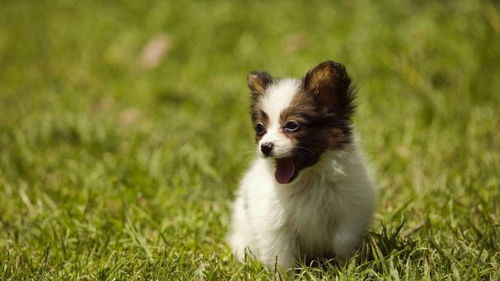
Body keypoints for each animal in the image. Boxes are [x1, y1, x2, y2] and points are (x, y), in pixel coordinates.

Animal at [229, 60, 376, 266]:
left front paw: (346, 266)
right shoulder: (274, 224)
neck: (308, 179)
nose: (265, 147)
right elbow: (281, 256)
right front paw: (284, 272)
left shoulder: (350, 212)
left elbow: (343, 240)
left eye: (292, 125)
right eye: (260, 128)